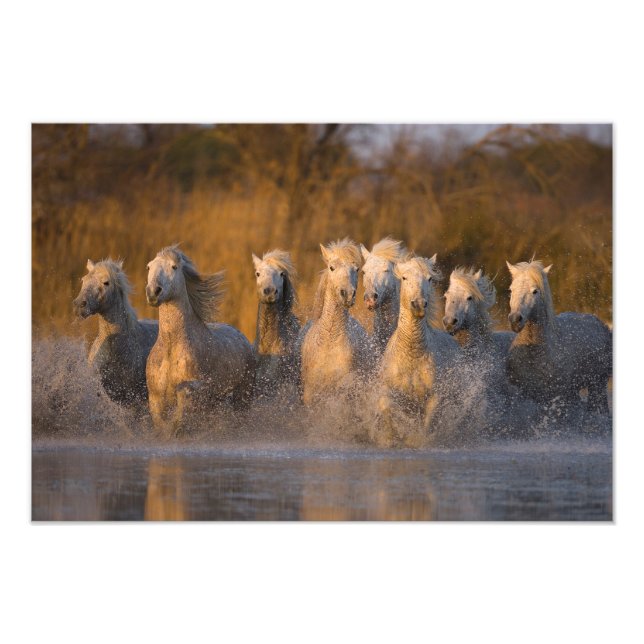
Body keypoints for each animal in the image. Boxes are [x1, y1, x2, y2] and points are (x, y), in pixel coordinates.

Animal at [145, 245, 255, 436]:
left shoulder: (191, 393)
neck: (171, 347)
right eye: (149, 267)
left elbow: (179, 419)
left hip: (242, 398)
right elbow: (164, 427)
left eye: (174, 267)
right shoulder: (155, 399)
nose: (153, 292)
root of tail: (243, 338)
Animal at [300, 238, 368, 405]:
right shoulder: (310, 393)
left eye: (357, 269)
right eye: (331, 267)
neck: (329, 343)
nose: (347, 294)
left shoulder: (342, 392)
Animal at [374, 255, 460, 447]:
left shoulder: (434, 397)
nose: (419, 304)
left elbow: (427, 424)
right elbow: (388, 408)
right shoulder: (387, 389)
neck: (411, 353)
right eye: (404, 278)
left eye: (429, 279)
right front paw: (393, 437)